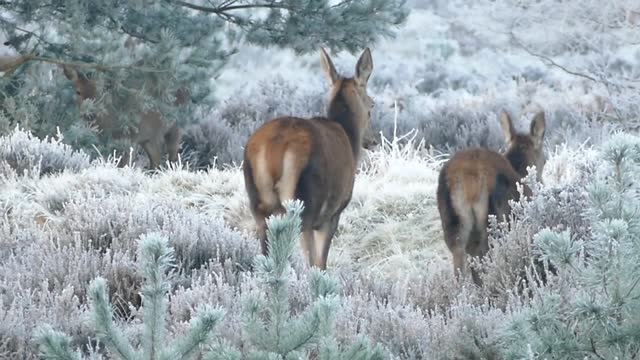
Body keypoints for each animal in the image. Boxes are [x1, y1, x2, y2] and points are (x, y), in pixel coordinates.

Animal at [244, 47, 376, 270]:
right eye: (372, 106)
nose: (372, 140)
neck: (349, 137)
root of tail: (274, 149)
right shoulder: (331, 215)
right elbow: (320, 263)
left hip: (260, 206)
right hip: (304, 204)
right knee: (304, 261)